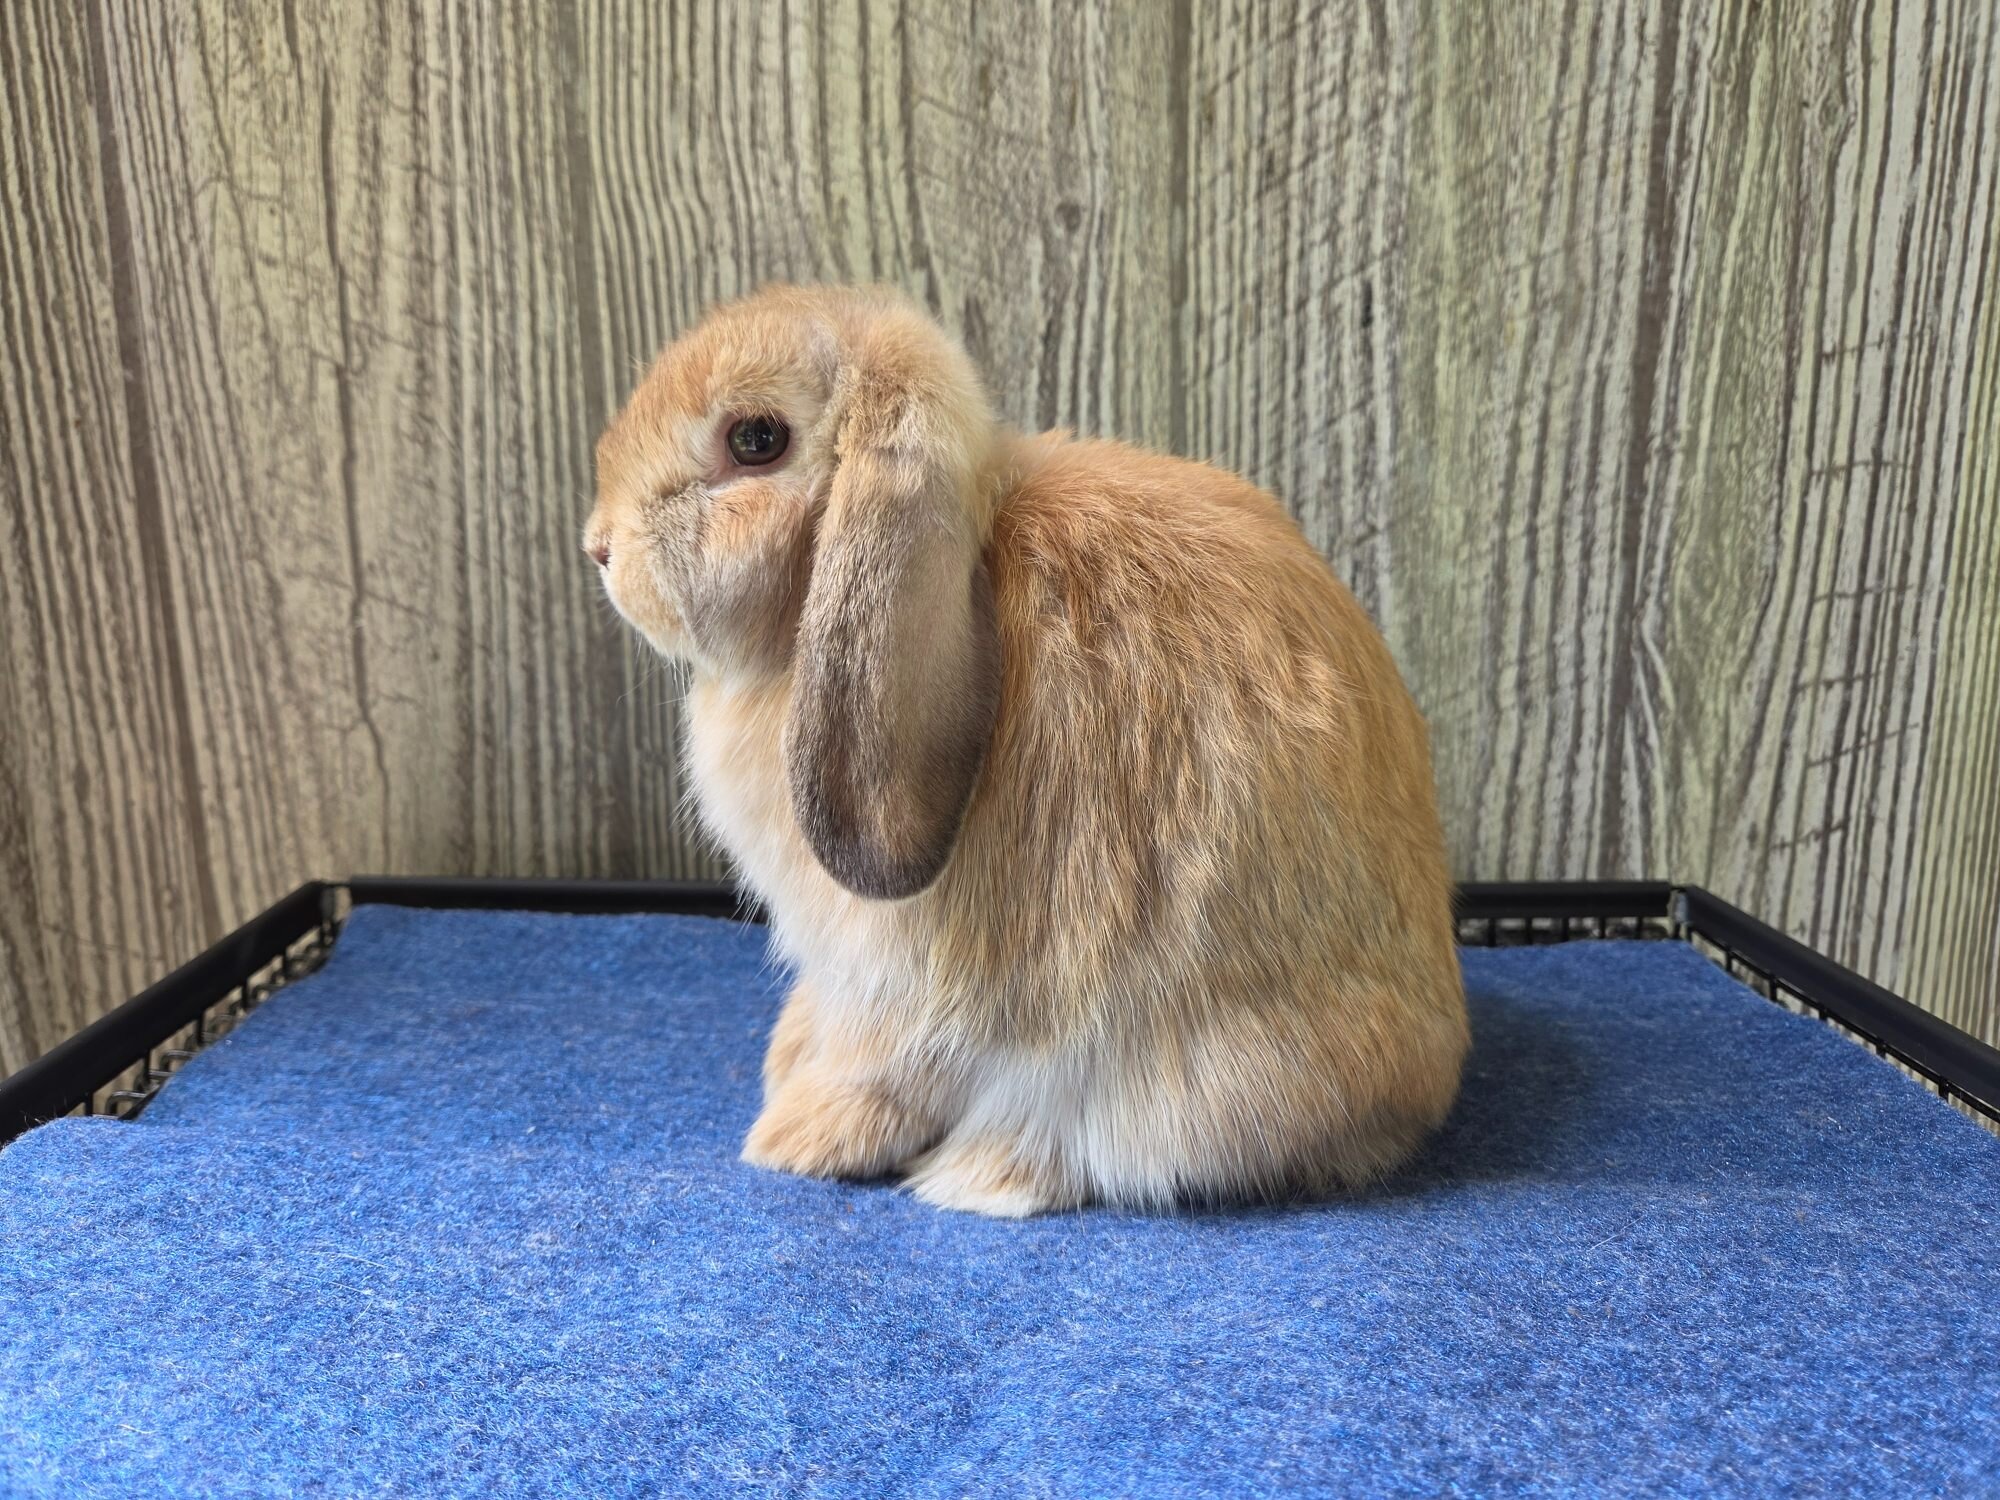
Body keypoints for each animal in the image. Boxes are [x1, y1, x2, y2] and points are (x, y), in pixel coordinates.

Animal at [584, 284, 1468, 1217]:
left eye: (756, 439)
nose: (598, 547)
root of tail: (1424, 1078)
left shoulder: (897, 983)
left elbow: (884, 1066)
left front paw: (796, 1137)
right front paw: (786, 1065)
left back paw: (977, 1171)